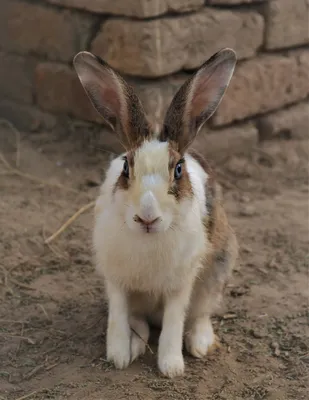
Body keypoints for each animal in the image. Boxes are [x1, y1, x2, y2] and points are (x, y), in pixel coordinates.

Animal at [74, 47, 238, 378]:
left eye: (178, 170)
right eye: (126, 168)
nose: (147, 217)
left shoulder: (180, 286)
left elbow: (174, 322)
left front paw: (171, 367)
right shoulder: (117, 282)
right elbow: (117, 317)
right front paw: (118, 357)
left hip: (216, 273)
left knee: (198, 315)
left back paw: (200, 344)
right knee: (140, 322)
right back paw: (136, 345)